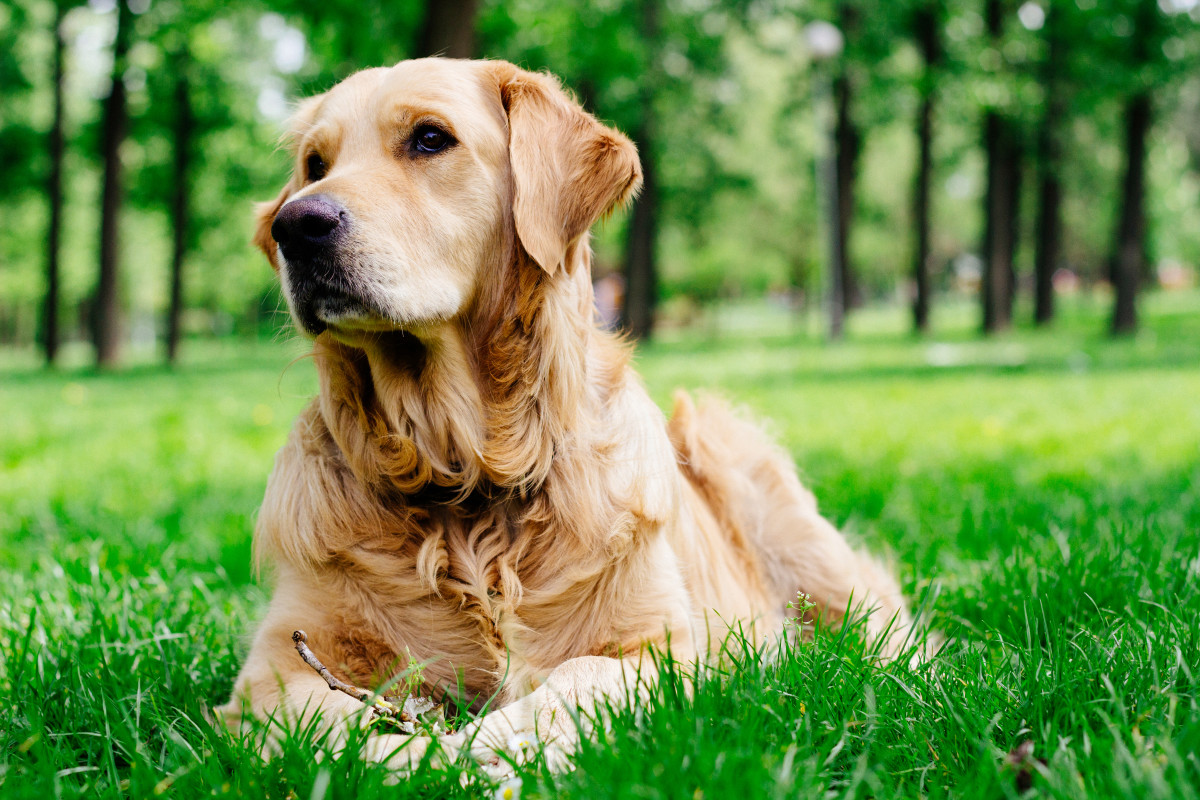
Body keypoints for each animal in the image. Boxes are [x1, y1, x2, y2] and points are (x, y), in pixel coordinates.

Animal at [216, 56, 921, 767]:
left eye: (430, 138)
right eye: (314, 164)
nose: (295, 227)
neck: (466, 477)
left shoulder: (662, 648)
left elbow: (579, 676)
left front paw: (480, 753)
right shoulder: (275, 666)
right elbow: (337, 724)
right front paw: (418, 754)